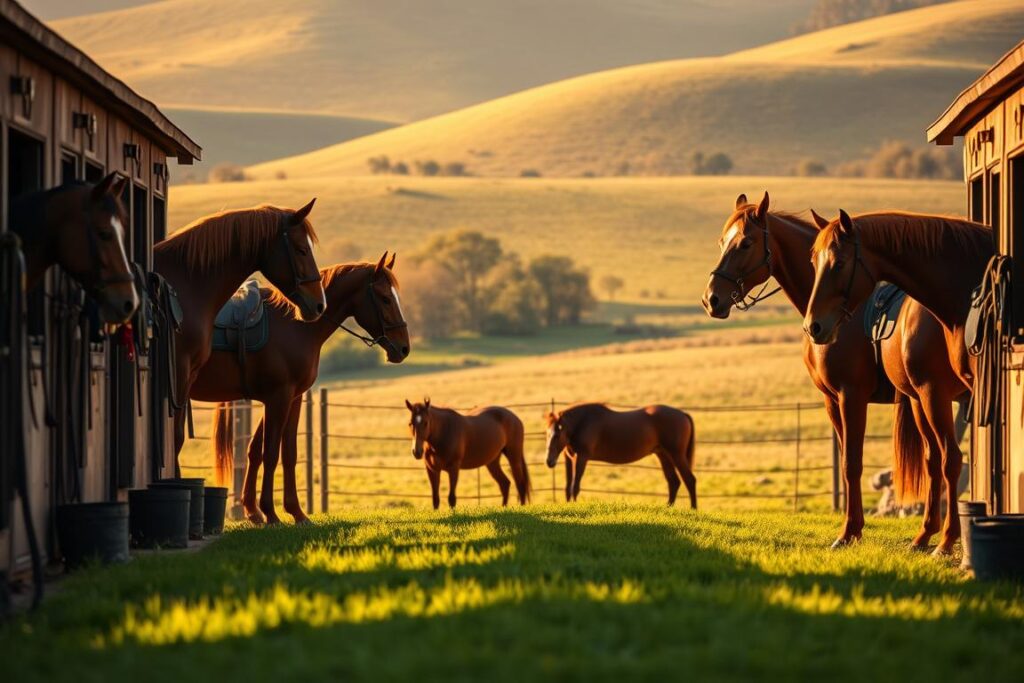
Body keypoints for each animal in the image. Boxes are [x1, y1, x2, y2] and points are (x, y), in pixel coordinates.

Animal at [201, 254, 410, 524]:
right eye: (385, 298)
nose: (404, 348)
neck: (295, 325)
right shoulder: (278, 398)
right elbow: (271, 453)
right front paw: (271, 513)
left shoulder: (291, 398)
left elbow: (278, 452)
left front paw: (285, 511)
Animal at [545, 403, 696, 507]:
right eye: (547, 433)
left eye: (557, 435)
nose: (549, 461)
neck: (583, 422)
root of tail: (683, 414)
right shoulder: (570, 459)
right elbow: (568, 487)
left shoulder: (581, 457)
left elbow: (575, 486)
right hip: (664, 455)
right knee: (674, 481)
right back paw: (668, 507)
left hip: (677, 455)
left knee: (689, 480)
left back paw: (693, 509)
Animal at [702, 192, 968, 550]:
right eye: (722, 242)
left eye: (745, 243)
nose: (712, 299)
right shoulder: (831, 401)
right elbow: (846, 465)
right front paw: (853, 528)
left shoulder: (850, 397)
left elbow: (852, 464)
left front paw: (849, 532)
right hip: (923, 401)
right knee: (937, 460)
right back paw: (928, 534)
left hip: (935, 398)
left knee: (951, 459)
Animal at [804, 209, 993, 555]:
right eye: (814, 261)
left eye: (839, 262)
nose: (814, 326)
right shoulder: (920, 396)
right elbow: (934, 460)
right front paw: (926, 535)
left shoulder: (861, 395)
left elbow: (950, 460)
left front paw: (946, 540)